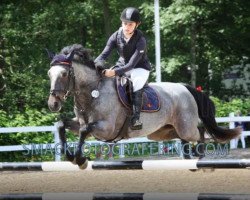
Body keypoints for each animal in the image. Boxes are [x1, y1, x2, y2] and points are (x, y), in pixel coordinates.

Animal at [47, 44, 240, 169]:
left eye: (64, 74)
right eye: (49, 73)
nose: (53, 104)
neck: (93, 91)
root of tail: (185, 87)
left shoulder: (107, 129)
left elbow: (84, 130)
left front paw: (80, 160)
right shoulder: (81, 122)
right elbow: (62, 125)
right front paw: (70, 156)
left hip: (185, 127)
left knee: (199, 132)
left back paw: (200, 155)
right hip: (162, 132)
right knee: (185, 138)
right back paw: (190, 158)